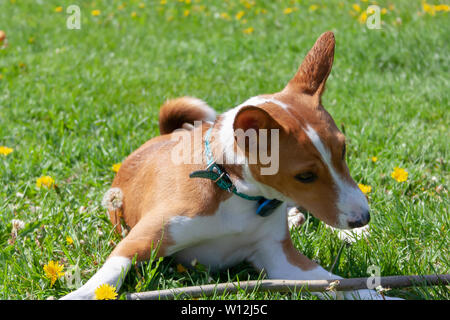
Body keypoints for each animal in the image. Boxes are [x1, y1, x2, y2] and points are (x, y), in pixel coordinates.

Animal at [62, 32, 398, 300]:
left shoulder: (280, 258)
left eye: (343, 150)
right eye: (305, 176)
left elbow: (344, 284)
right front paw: (77, 294)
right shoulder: (139, 240)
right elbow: (106, 276)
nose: (362, 217)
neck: (234, 189)